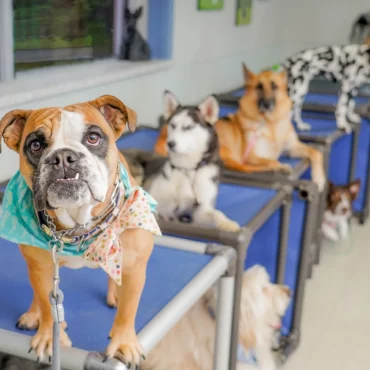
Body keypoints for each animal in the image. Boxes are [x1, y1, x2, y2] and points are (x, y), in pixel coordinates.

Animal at [155, 65, 326, 191]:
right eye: (258, 87)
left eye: (274, 86)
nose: (267, 104)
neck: (270, 123)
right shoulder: (252, 155)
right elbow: (269, 160)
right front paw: (278, 165)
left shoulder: (292, 147)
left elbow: (316, 152)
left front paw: (319, 178)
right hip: (230, 153)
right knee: (246, 168)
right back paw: (278, 168)